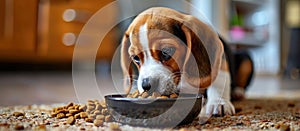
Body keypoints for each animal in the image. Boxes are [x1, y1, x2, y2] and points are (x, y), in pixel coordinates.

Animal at [120, 7, 252, 118]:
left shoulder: (221, 61)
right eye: (135, 58)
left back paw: (237, 92)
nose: (147, 85)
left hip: (246, 58)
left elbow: (219, 81)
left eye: (166, 51)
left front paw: (218, 103)